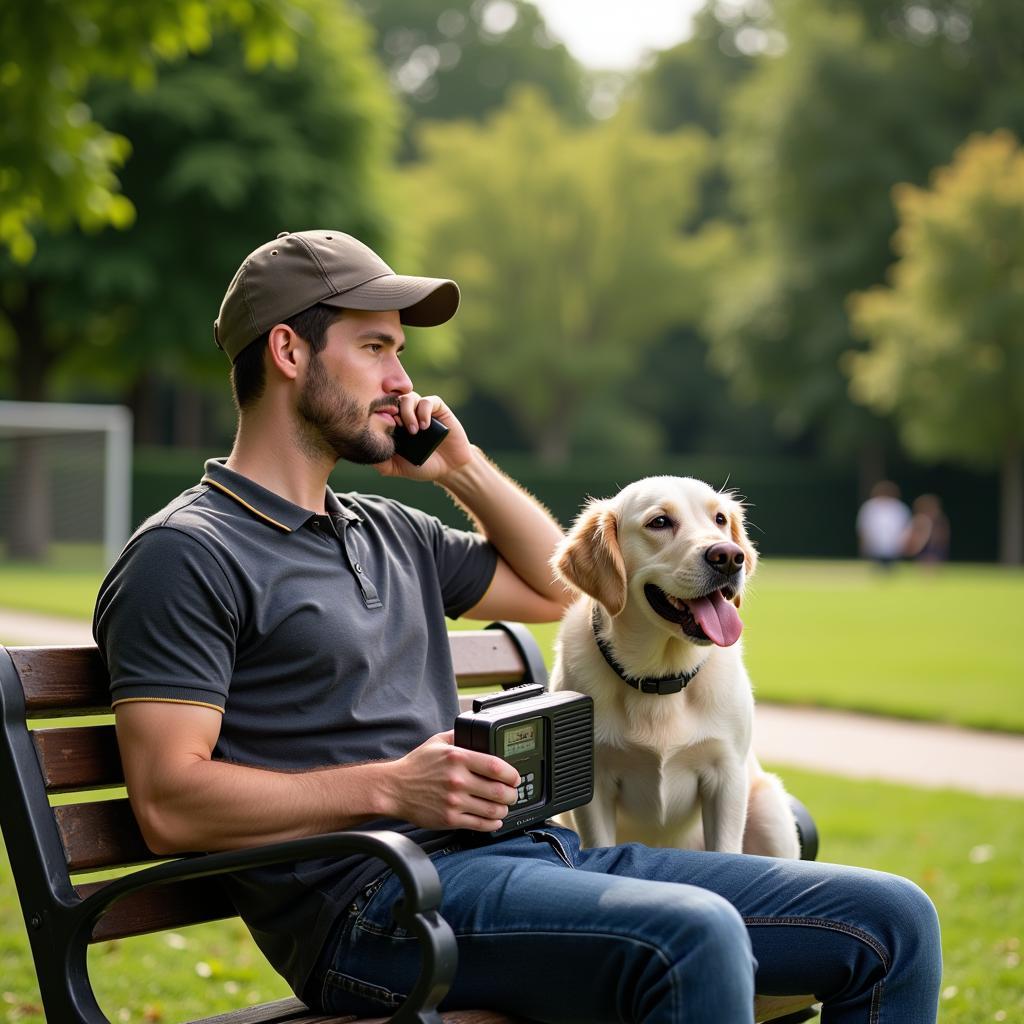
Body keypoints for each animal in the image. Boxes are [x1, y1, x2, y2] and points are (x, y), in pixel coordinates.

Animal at [552, 475, 798, 860]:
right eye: (660, 522)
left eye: (720, 519)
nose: (730, 557)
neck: (660, 678)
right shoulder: (594, 786)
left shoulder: (726, 777)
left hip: (769, 810)